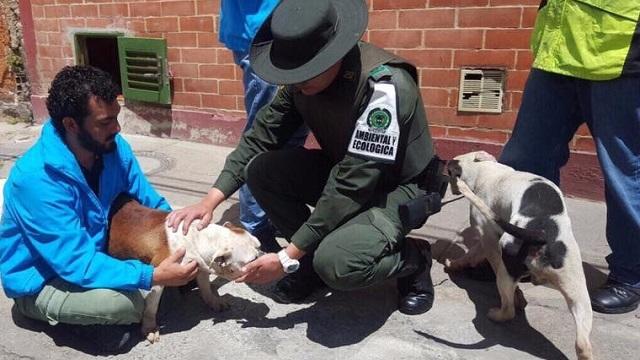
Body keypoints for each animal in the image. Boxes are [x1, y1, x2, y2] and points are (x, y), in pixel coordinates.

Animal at [109, 194, 262, 344]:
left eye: (258, 245)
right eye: (252, 260)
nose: (262, 255)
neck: (199, 239)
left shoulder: (201, 267)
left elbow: (206, 288)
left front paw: (213, 301)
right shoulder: (157, 280)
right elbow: (151, 308)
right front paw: (149, 328)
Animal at [444, 151, 592, 360]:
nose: (451, 189)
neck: (484, 170)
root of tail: (540, 235)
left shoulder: (488, 237)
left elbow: (474, 253)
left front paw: (454, 264)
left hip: (505, 272)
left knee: (508, 310)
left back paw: (496, 314)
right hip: (577, 292)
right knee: (583, 344)